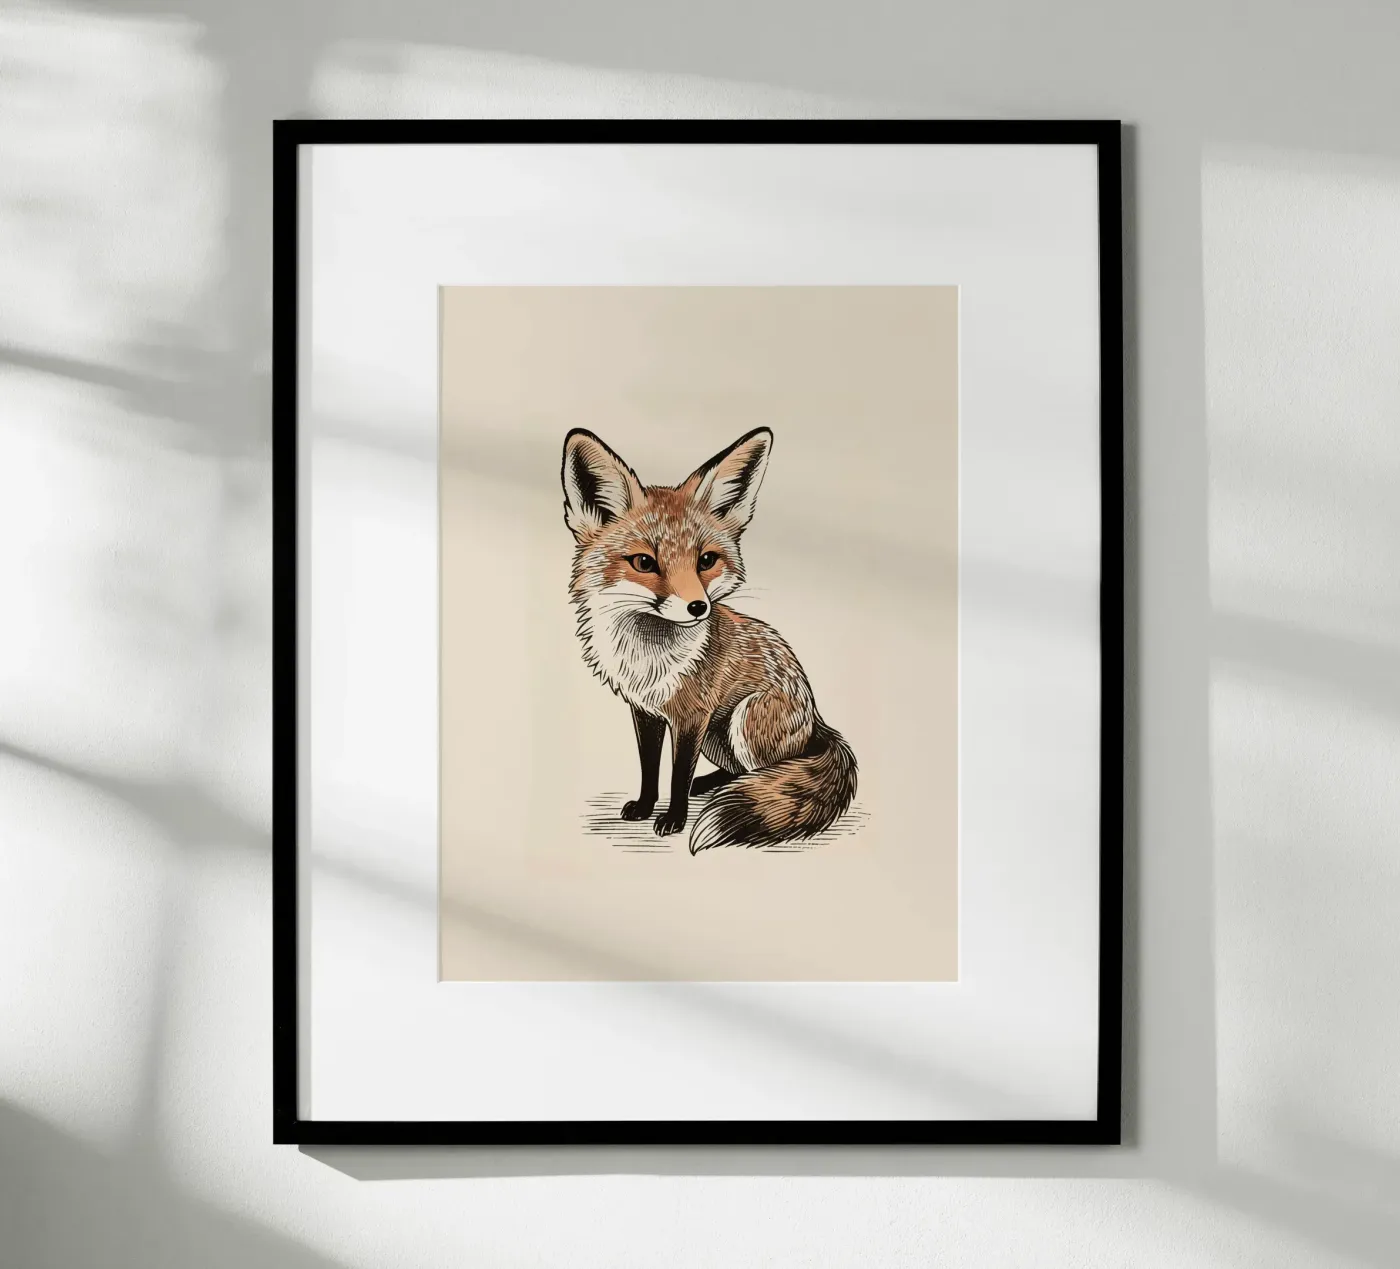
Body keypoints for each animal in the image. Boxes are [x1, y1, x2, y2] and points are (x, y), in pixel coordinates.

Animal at [561, 426, 857, 854]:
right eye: (644, 562)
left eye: (706, 561)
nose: (698, 607)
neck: (648, 658)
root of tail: (816, 719)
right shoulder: (646, 712)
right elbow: (650, 767)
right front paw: (645, 807)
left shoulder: (693, 715)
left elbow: (677, 774)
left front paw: (673, 819)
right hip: (720, 738)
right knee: (742, 771)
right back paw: (713, 784)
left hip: (743, 719)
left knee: (773, 773)